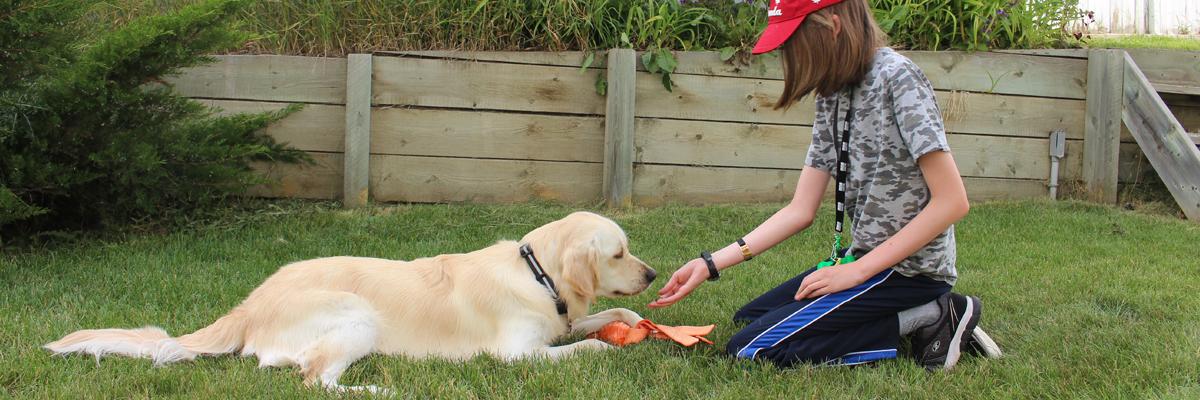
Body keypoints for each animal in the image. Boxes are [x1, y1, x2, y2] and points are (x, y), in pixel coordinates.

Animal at [44, 211, 657, 391]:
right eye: (620, 252)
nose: (653, 274)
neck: (538, 275)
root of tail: (250, 304)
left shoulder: (561, 321)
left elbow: (611, 316)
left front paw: (635, 320)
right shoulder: (516, 353)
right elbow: (592, 348)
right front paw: (613, 347)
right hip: (356, 313)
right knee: (314, 378)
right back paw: (378, 388)